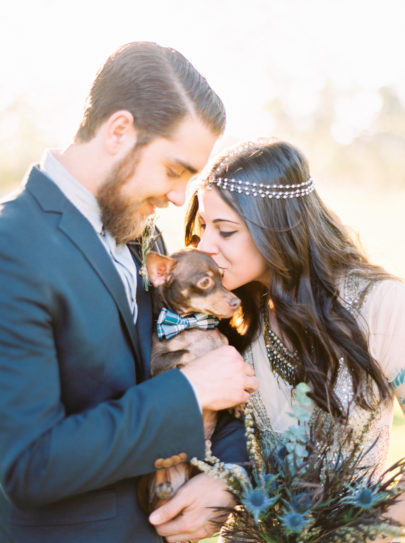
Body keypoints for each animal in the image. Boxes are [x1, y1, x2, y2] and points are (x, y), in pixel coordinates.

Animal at [137, 249, 240, 516]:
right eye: (204, 282)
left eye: (222, 277)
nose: (236, 302)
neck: (194, 327)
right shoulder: (156, 364)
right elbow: (186, 353)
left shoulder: (225, 344)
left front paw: (239, 403)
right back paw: (162, 485)